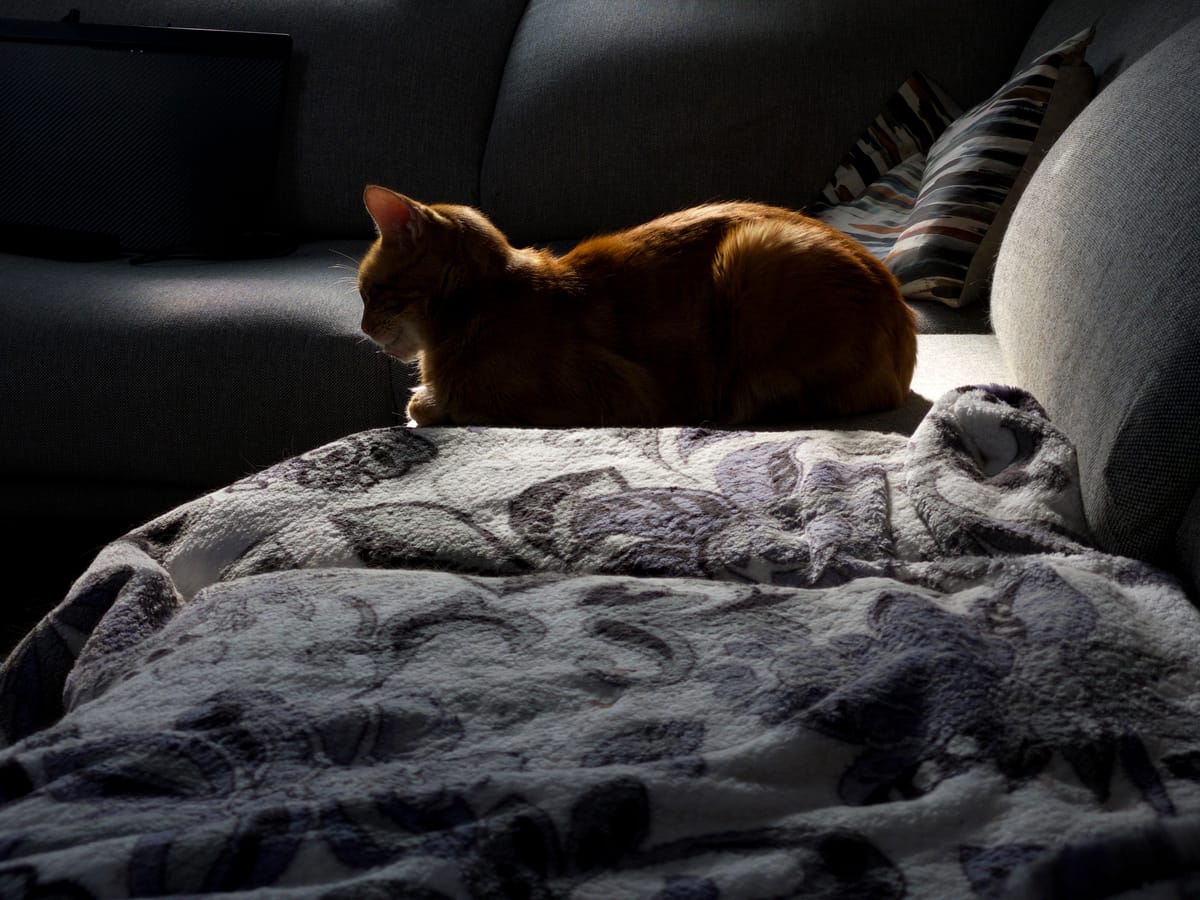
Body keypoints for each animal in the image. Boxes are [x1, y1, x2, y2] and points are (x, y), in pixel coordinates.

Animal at [360, 184, 912, 427]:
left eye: (367, 292)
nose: (362, 328)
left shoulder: (616, 396)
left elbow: (428, 405)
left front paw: (429, 404)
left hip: (756, 253)